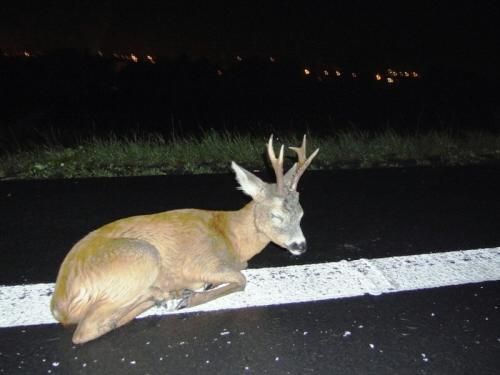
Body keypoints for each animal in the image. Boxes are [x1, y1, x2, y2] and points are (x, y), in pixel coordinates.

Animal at [49, 134, 316, 344]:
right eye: (276, 215)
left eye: (302, 213)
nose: (300, 246)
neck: (232, 237)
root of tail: (60, 305)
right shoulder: (204, 262)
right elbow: (241, 280)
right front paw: (191, 297)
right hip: (141, 256)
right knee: (85, 331)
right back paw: (168, 295)